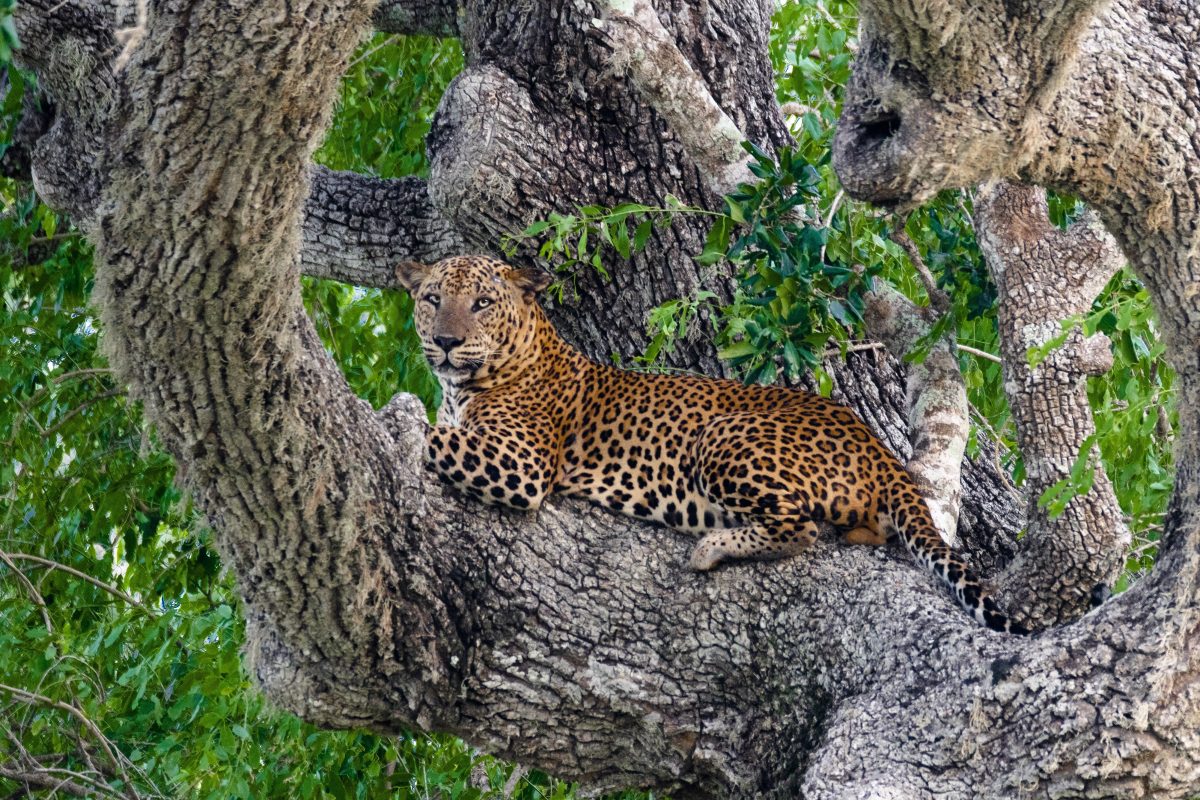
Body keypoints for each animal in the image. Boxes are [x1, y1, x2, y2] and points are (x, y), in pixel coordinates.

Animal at [396, 254, 1025, 634]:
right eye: (432, 300)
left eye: (482, 303)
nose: (445, 342)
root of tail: (875, 446)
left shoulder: (521, 462)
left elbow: (437, 438)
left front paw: (394, 416)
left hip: (719, 435)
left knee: (800, 528)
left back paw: (712, 546)